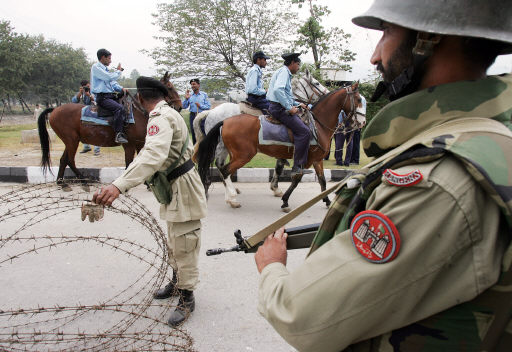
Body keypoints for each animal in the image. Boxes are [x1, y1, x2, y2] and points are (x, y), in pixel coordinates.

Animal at [36, 72, 181, 191]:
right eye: (169, 87)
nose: (180, 106)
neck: (137, 112)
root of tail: (54, 110)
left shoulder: (140, 143)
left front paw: (146, 184)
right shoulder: (129, 145)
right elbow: (129, 163)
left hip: (71, 141)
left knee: (63, 160)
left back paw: (62, 183)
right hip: (72, 140)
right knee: (70, 160)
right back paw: (84, 182)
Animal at [196, 79, 360, 212]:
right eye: (359, 99)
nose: (361, 122)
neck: (317, 125)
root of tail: (223, 120)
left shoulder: (316, 158)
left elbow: (321, 180)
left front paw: (326, 200)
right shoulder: (305, 159)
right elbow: (296, 177)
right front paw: (284, 200)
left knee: (222, 169)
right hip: (242, 154)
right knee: (224, 170)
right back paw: (230, 197)